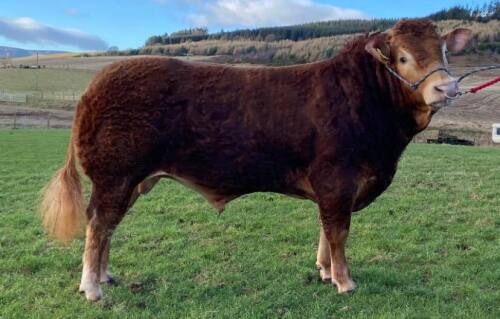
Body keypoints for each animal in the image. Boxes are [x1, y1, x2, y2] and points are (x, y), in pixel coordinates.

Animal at [41, 18, 470, 302]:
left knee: (107, 227)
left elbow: (325, 230)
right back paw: (92, 288)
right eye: (403, 57)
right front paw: (344, 282)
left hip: (127, 181)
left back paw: (105, 277)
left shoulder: (335, 188)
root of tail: (96, 84)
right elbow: (338, 232)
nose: (446, 87)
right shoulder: (338, 180)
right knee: (98, 225)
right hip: (115, 175)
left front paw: (324, 271)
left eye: (445, 52)